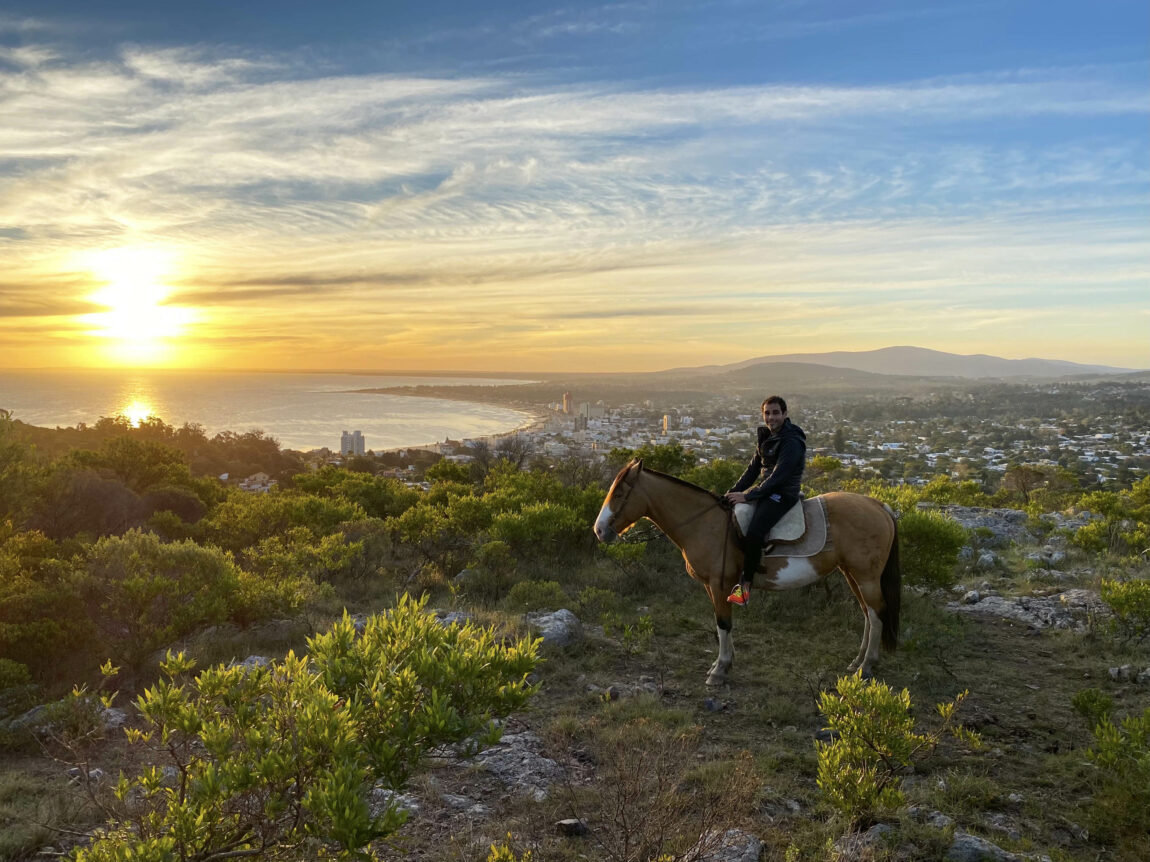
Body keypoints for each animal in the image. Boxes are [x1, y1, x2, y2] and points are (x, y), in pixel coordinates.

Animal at [593, 459, 897, 689]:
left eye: (618, 494)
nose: (599, 530)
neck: (706, 523)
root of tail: (879, 506)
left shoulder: (719, 583)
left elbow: (723, 624)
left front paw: (719, 671)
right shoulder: (713, 586)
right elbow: (722, 626)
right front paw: (722, 664)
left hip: (866, 576)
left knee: (876, 613)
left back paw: (867, 666)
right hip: (852, 573)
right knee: (868, 613)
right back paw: (857, 662)